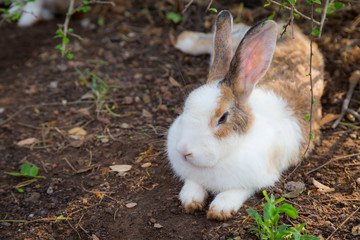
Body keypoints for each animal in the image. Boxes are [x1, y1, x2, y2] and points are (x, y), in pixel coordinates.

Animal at [167, 11, 324, 221]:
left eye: (223, 117)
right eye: (186, 105)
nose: (184, 151)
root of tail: (295, 33)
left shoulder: (254, 181)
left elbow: (235, 192)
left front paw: (220, 210)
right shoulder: (193, 177)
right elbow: (192, 185)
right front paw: (190, 201)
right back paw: (185, 40)